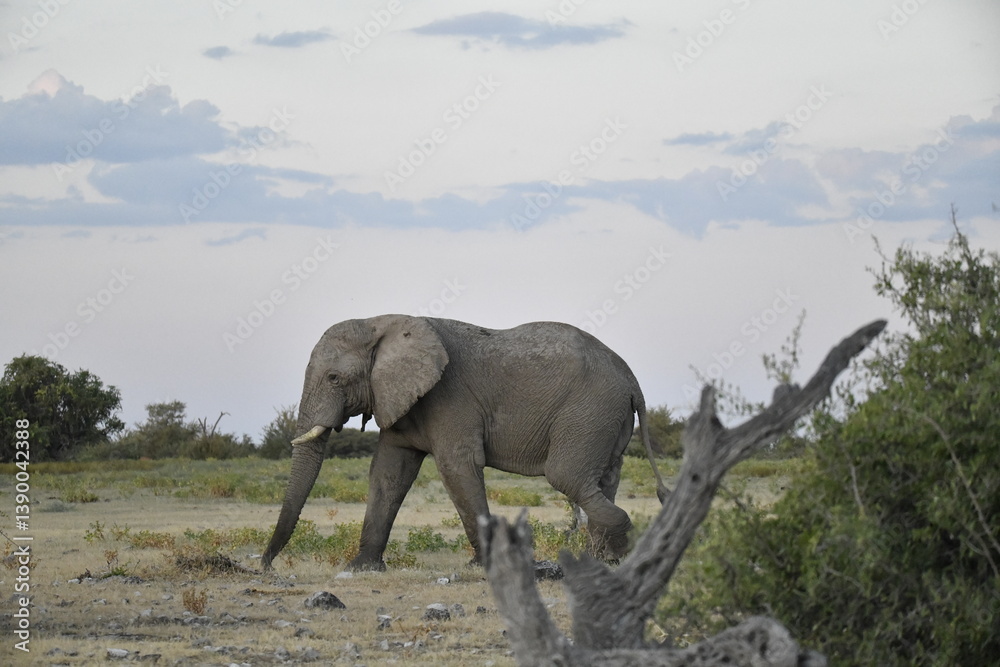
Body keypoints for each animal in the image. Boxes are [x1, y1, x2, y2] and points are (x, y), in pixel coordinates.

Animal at [261, 314, 666, 571]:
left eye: (333, 378)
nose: (265, 566)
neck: (383, 322)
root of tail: (630, 376)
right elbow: (388, 473)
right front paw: (362, 568)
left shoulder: (449, 398)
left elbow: (457, 466)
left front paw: (480, 566)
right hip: (606, 418)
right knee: (603, 479)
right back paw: (603, 558)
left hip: (589, 412)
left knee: (566, 476)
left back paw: (614, 551)